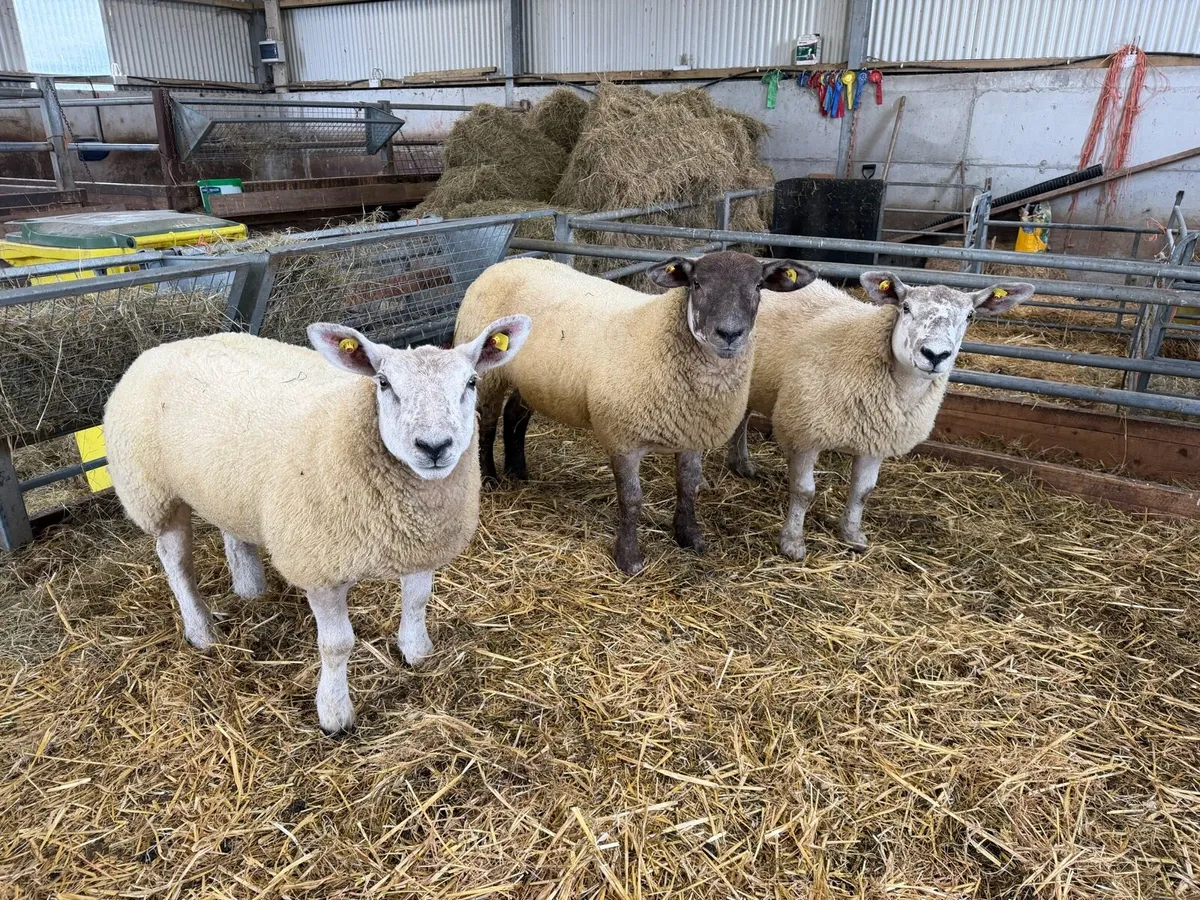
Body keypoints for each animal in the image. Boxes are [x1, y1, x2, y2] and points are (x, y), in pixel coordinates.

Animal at [102, 315, 531, 734]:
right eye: (384, 383)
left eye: (471, 382)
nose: (434, 447)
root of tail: (168, 345)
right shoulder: (320, 567)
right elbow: (337, 645)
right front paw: (335, 715)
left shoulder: (420, 546)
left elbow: (417, 601)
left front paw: (417, 653)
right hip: (154, 493)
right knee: (175, 561)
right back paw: (201, 630)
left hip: (229, 487)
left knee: (234, 533)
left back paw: (250, 589)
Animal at [453, 251, 816, 574]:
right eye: (697, 284)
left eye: (758, 286)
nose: (729, 334)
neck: (658, 336)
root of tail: (506, 263)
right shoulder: (622, 438)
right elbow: (631, 498)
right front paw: (629, 558)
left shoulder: (691, 434)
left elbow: (688, 485)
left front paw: (689, 536)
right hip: (491, 372)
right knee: (487, 421)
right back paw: (490, 478)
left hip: (532, 380)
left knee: (516, 415)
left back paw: (519, 471)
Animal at [726, 271, 1033, 560]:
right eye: (906, 308)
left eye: (970, 315)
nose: (935, 355)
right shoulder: (804, 431)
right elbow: (804, 492)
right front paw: (792, 542)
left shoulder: (876, 439)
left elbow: (863, 492)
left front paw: (852, 534)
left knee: (741, 420)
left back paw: (741, 464)